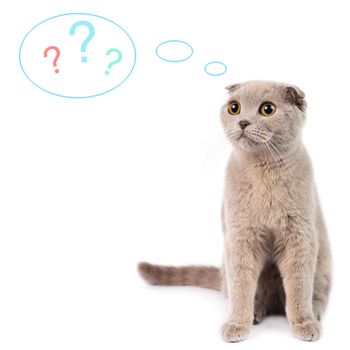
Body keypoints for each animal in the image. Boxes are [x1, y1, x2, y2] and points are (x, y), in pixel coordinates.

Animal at [137, 80, 330, 342]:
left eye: (267, 109)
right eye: (234, 108)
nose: (243, 122)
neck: (263, 173)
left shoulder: (299, 236)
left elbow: (299, 286)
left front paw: (304, 323)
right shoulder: (240, 238)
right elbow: (242, 287)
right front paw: (237, 324)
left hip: (322, 267)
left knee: (314, 295)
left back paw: (314, 315)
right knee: (248, 293)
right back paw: (255, 313)